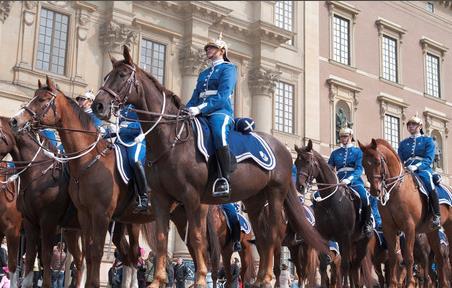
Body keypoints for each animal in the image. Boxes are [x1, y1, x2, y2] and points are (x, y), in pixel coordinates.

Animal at [7, 79, 154, 288]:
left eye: (42, 99)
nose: (15, 121)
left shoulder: (53, 220)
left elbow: (49, 256)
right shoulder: (42, 222)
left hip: (131, 224)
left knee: (133, 257)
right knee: (124, 257)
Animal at [92, 45, 326, 288]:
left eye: (122, 75)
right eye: (107, 76)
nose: (98, 105)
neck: (171, 140)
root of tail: (281, 147)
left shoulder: (192, 196)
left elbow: (197, 239)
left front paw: (200, 279)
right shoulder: (160, 198)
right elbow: (161, 238)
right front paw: (157, 280)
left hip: (275, 194)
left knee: (271, 237)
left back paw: (268, 278)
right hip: (254, 201)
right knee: (261, 240)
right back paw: (261, 278)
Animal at [294, 139, 374, 286]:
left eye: (308, 161)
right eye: (296, 163)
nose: (299, 186)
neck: (330, 201)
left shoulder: (344, 237)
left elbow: (344, 266)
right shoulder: (324, 236)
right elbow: (323, 266)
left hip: (361, 243)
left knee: (354, 267)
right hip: (353, 243)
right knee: (353, 268)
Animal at [358, 138, 450, 286]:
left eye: (378, 161)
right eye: (363, 164)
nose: (374, 191)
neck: (395, 191)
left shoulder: (409, 227)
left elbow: (409, 257)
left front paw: (410, 283)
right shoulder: (389, 228)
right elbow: (394, 257)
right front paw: (392, 284)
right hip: (432, 231)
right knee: (440, 259)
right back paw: (443, 284)